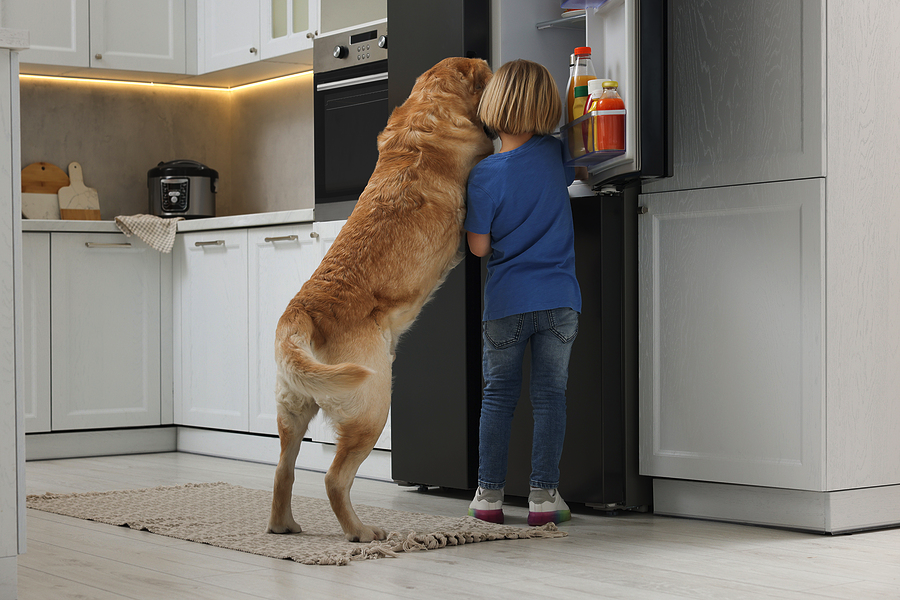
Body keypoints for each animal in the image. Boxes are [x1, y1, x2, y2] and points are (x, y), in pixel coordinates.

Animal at [268, 57, 492, 544]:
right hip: (372, 408)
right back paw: (361, 532)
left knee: (283, 471)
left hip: (292, 412)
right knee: (334, 479)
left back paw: (284, 525)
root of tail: (301, 311)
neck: (425, 113)